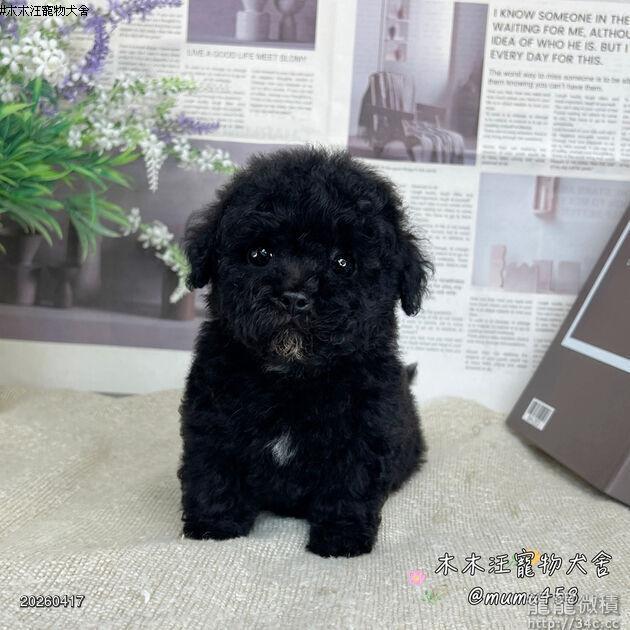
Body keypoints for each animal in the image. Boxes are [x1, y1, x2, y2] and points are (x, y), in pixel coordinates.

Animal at [178, 146, 431, 558]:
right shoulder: (212, 417)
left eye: (344, 263)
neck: (293, 376)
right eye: (259, 255)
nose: (294, 297)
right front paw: (214, 526)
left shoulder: (365, 430)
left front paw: (341, 540)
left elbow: (350, 484)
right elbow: (215, 471)